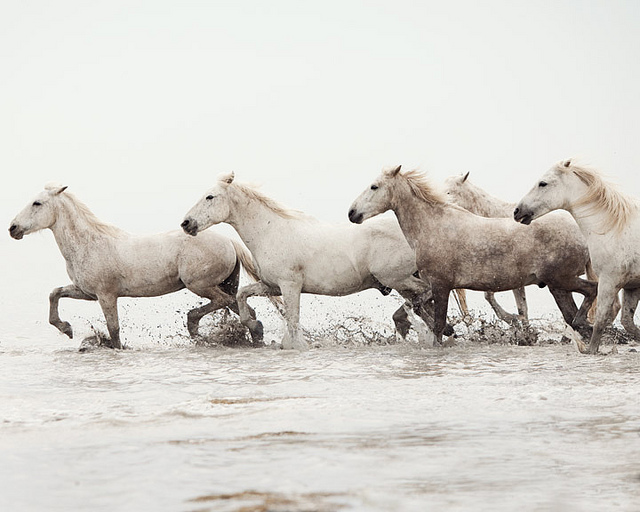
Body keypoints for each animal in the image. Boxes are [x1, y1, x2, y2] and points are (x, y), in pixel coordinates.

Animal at [9, 184, 261, 349]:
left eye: (37, 203)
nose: (13, 228)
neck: (89, 244)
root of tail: (230, 241)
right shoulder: (87, 292)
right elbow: (54, 293)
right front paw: (66, 328)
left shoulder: (106, 295)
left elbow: (114, 330)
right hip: (223, 284)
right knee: (246, 310)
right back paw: (255, 336)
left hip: (200, 285)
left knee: (222, 303)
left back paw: (197, 327)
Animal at [181, 172, 447, 351]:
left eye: (209, 197)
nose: (186, 223)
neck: (271, 231)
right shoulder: (271, 286)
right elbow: (242, 294)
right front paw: (254, 326)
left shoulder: (290, 285)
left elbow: (292, 322)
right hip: (401, 282)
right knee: (424, 303)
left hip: (397, 278)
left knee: (425, 295)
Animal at [348, 165, 597, 345]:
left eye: (374, 187)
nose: (352, 213)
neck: (433, 226)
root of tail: (581, 234)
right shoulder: (436, 285)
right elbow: (420, 308)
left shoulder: (441, 285)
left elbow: (437, 325)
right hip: (558, 286)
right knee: (574, 315)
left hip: (561, 280)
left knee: (590, 295)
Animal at [514, 159, 640, 354]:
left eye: (543, 183)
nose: (517, 211)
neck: (611, 229)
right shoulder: (632, 286)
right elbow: (628, 323)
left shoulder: (609, 282)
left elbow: (600, 322)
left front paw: (589, 347)